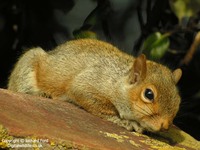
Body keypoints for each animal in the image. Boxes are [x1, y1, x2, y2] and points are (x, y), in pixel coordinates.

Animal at [7, 38, 182, 132]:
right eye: (148, 94)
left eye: (178, 100)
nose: (165, 126)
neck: (118, 81)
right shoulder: (90, 83)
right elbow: (97, 104)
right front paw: (127, 122)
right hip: (29, 64)